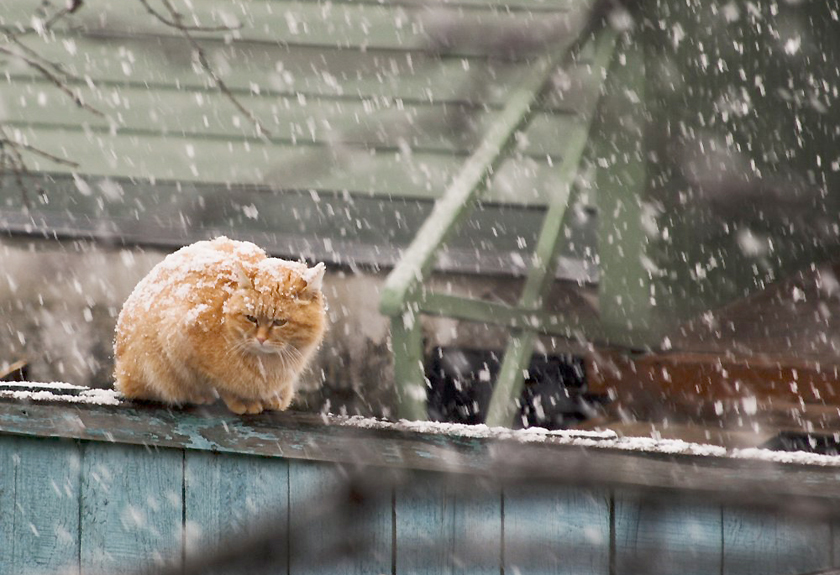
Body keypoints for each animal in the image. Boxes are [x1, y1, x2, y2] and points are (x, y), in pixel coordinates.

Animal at [115, 237, 328, 414]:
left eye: (279, 322)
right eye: (251, 318)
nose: (261, 339)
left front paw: (275, 397)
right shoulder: (178, 340)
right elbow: (219, 383)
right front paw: (242, 400)